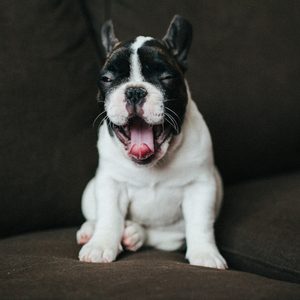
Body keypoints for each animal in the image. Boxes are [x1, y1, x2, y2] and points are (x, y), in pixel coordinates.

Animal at [77, 14, 227, 270]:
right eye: (106, 79)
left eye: (166, 78)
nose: (135, 91)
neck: (154, 165)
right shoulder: (110, 184)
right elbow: (109, 217)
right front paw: (100, 245)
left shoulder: (201, 186)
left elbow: (201, 224)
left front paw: (205, 254)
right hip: (89, 191)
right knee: (95, 216)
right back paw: (90, 231)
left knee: (152, 235)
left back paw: (134, 234)